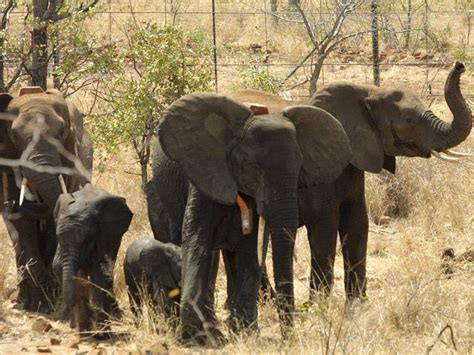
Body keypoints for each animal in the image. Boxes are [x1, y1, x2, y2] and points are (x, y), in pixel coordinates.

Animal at [0, 87, 92, 312]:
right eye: (14, 136)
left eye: (62, 133)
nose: (12, 204)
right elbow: (22, 227)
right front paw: (39, 305)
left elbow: (52, 222)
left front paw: (50, 300)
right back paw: (24, 299)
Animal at [51, 185, 132, 338]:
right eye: (58, 237)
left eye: (86, 239)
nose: (72, 325)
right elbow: (58, 267)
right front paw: (85, 332)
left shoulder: (105, 235)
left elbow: (100, 273)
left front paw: (102, 335)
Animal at [147, 92, 352, 344]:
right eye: (250, 166)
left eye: (300, 165)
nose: (288, 338)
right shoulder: (205, 175)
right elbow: (197, 241)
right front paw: (196, 337)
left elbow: (250, 249)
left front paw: (245, 332)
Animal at [230, 62, 470, 304]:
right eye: (409, 120)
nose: (459, 65)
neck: (369, 91)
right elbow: (325, 227)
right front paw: (319, 305)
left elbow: (357, 222)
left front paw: (357, 303)